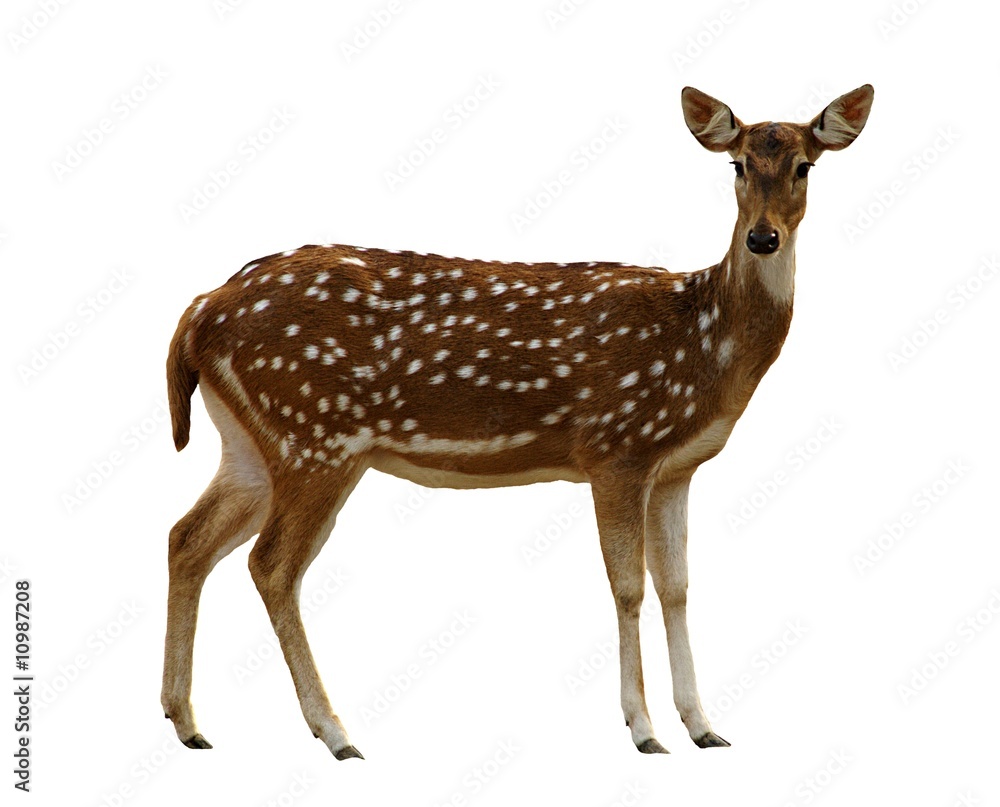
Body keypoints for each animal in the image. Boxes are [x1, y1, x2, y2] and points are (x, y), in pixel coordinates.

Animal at [161, 84, 873, 760]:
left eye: (806, 166)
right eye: (737, 164)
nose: (762, 237)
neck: (704, 343)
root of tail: (198, 312)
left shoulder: (676, 468)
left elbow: (677, 587)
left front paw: (703, 726)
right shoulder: (615, 446)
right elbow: (628, 587)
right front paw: (644, 730)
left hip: (252, 442)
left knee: (187, 538)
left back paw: (188, 722)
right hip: (315, 433)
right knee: (272, 564)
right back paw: (335, 732)